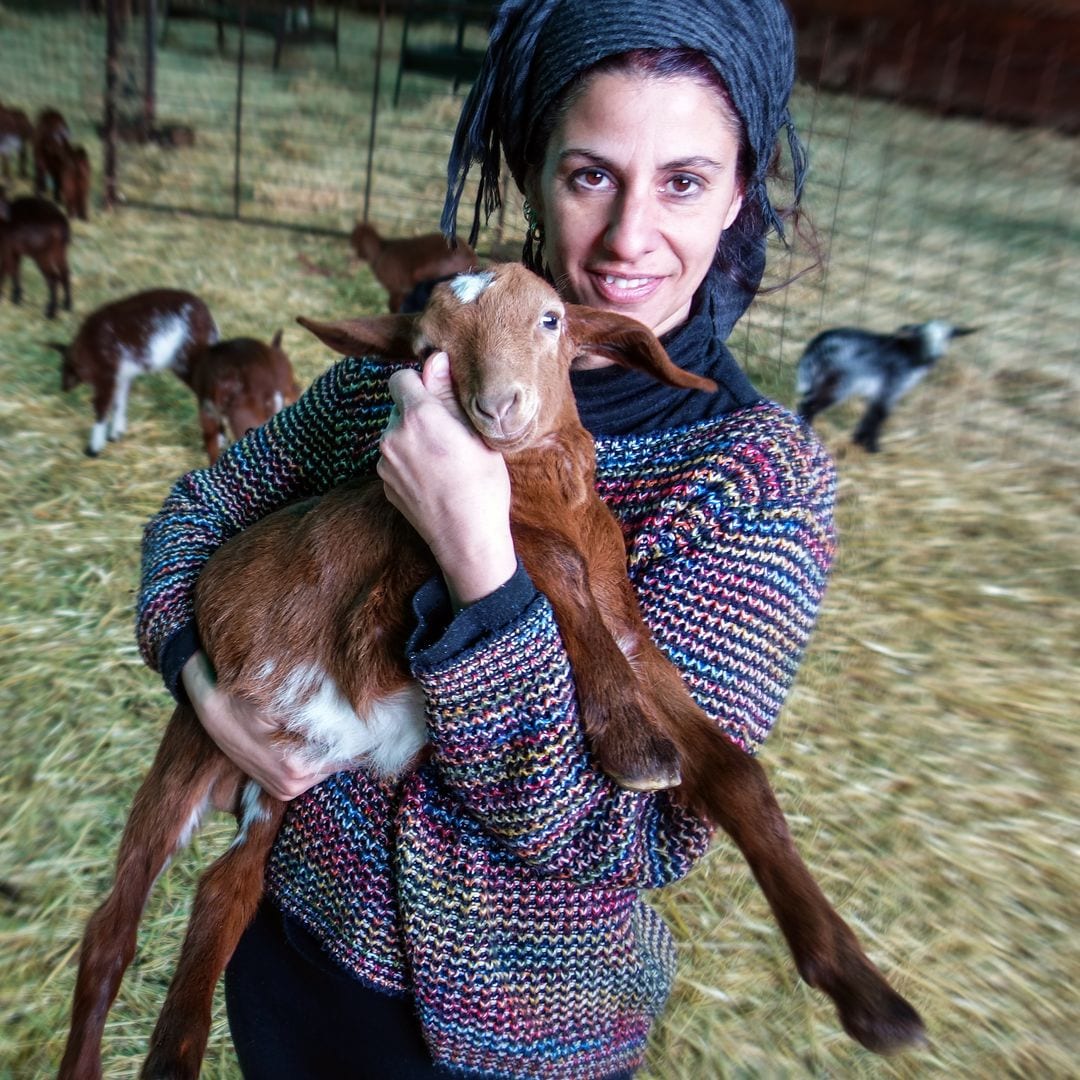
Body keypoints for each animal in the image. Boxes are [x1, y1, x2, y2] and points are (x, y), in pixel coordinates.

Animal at [51, 287, 218, 455]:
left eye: (65, 367)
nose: (63, 387)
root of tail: (208, 318)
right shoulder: (122, 375)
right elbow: (119, 403)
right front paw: (115, 435)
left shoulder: (106, 374)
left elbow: (101, 408)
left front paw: (93, 449)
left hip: (188, 361)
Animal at [794, 319, 980, 455]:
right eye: (924, 336)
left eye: (946, 337)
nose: (935, 356)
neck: (912, 355)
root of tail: (820, 342)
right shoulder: (891, 388)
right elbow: (879, 416)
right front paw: (873, 447)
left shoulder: (878, 392)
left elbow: (870, 415)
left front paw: (858, 440)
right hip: (838, 383)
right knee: (810, 405)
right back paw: (807, 434)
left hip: (821, 379)